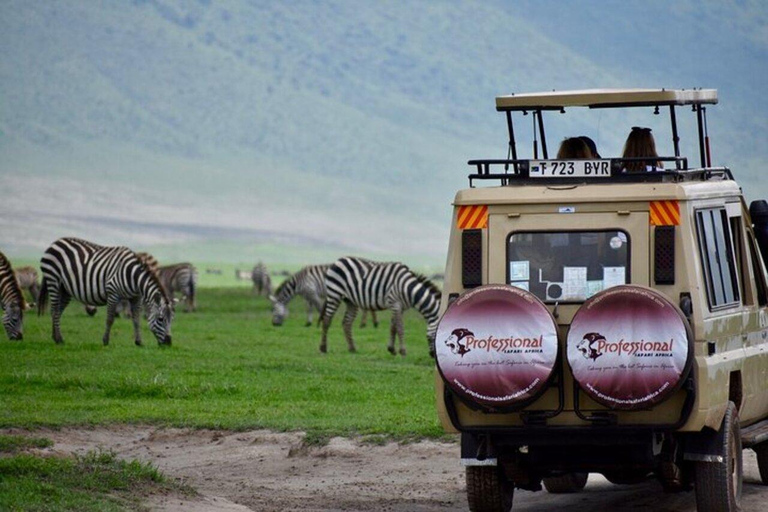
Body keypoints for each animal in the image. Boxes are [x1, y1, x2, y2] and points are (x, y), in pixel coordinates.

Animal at [39, 238, 174, 346]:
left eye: (172, 319)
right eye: (160, 319)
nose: (169, 343)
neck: (133, 277)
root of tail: (56, 242)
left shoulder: (136, 298)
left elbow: (136, 320)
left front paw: (139, 342)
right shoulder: (113, 294)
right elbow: (110, 319)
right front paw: (105, 341)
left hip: (65, 289)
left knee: (57, 311)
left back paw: (56, 337)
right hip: (53, 280)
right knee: (55, 310)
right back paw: (59, 339)